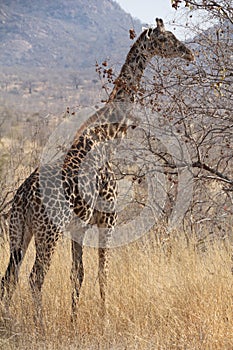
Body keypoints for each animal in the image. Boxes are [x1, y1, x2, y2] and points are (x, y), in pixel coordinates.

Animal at [0, 18, 194, 322]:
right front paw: (104, 320)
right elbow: (103, 273)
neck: (107, 138)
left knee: (10, 277)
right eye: (167, 39)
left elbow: (77, 274)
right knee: (35, 278)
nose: (190, 53)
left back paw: (9, 321)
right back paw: (39, 325)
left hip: (19, 230)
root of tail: (23, 199)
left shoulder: (79, 228)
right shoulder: (109, 218)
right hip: (48, 232)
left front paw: (74, 320)